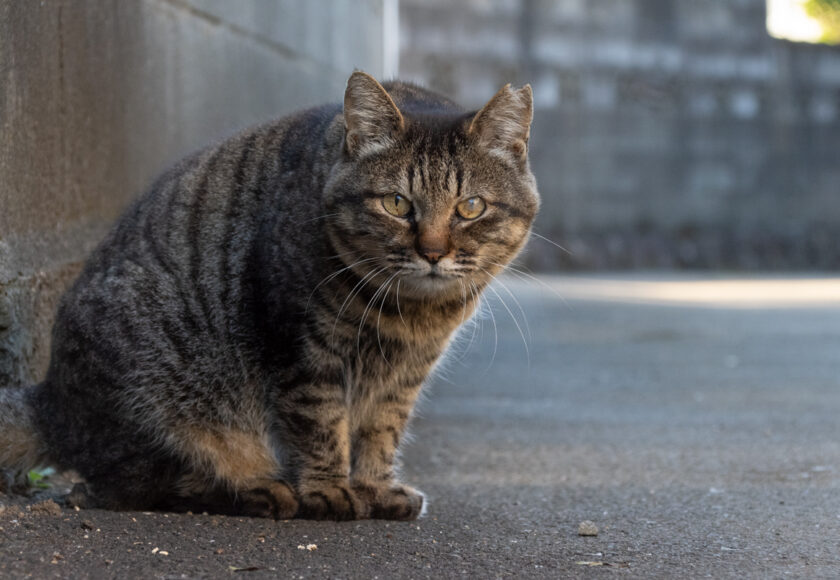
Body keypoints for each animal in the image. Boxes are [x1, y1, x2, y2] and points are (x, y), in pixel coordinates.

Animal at [0, 72, 540, 520]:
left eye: (470, 207)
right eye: (396, 203)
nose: (432, 252)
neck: (411, 315)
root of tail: (51, 402)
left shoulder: (403, 376)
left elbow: (382, 432)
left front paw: (375, 488)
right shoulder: (303, 349)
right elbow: (322, 424)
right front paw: (329, 490)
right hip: (158, 394)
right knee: (142, 486)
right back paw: (261, 489)